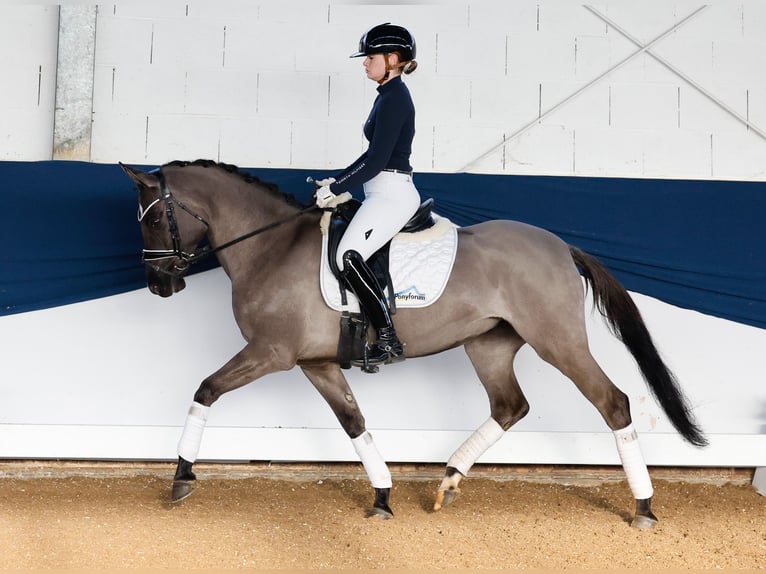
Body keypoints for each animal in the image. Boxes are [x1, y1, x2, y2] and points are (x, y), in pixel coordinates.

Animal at [121, 160, 708, 528]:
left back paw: (644, 508)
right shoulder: (315, 364)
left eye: (152, 219)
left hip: (558, 342)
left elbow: (205, 390)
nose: (159, 285)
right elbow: (354, 423)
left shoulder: (271, 354)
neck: (270, 245)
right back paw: (448, 480)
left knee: (613, 403)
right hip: (488, 345)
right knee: (510, 406)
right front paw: (382, 496)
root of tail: (561, 246)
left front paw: (181, 476)